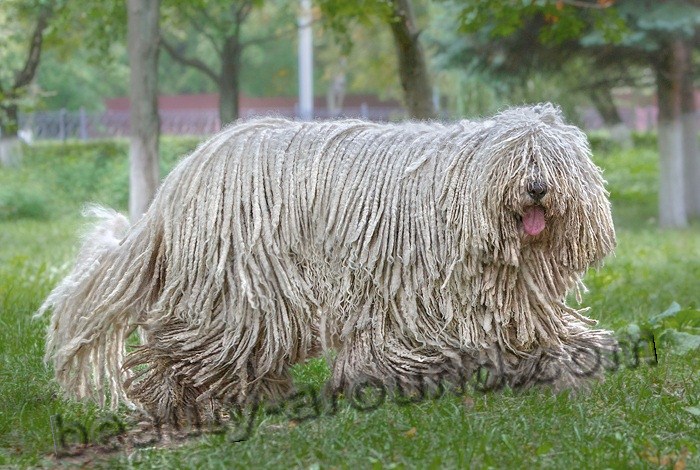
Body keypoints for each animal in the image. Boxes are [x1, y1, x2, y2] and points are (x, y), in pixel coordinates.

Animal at [39, 104, 616, 424]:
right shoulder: (404, 294)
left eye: (553, 164)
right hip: (237, 291)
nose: (537, 189)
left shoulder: (504, 299)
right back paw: (184, 400)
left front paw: (570, 363)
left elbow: (537, 336)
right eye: (519, 161)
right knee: (185, 346)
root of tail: (182, 177)